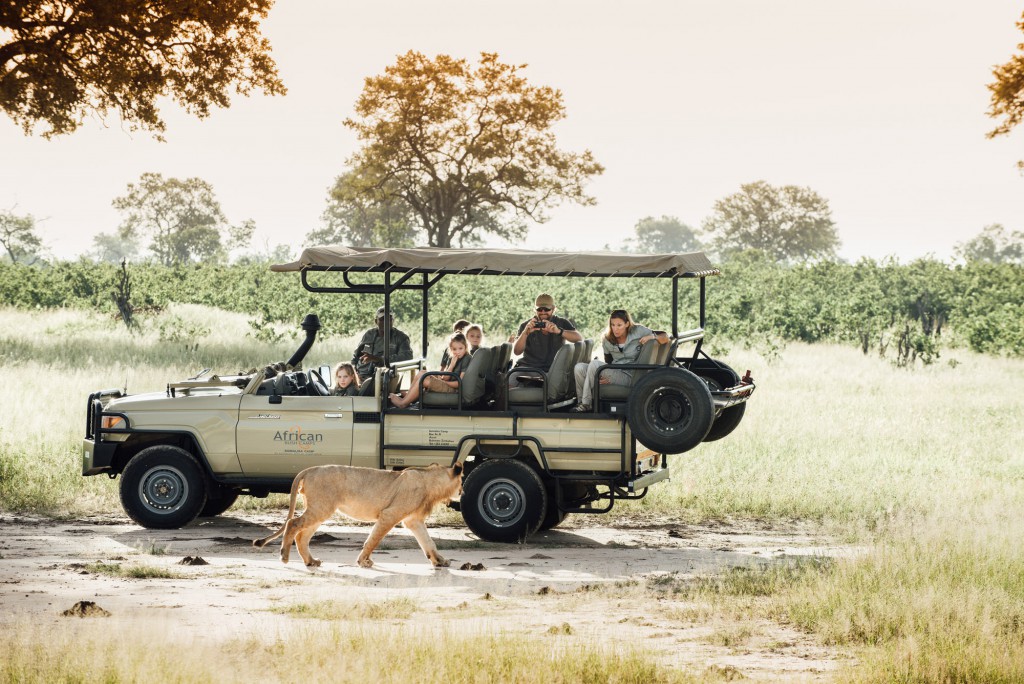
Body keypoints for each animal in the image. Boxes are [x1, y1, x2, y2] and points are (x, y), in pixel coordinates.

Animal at [252, 462, 463, 569]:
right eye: (462, 479)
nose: (462, 491)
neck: (430, 479)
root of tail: (310, 469)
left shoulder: (414, 520)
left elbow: (428, 542)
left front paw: (440, 561)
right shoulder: (390, 514)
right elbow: (373, 539)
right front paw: (364, 561)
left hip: (320, 509)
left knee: (302, 536)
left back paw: (311, 561)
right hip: (321, 507)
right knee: (293, 524)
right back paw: (284, 556)